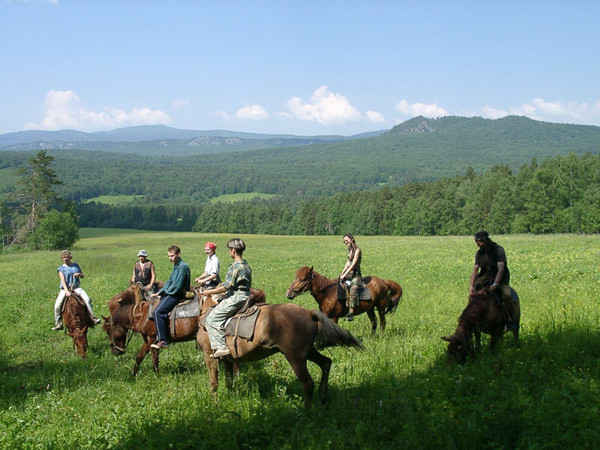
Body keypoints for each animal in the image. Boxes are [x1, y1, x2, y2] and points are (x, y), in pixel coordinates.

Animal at [103, 288, 264, 376]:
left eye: (110, 331)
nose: (115, 352)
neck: (141, 315)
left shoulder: (152, 339)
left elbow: (154, 359)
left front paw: (157, 376)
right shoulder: (147, 340)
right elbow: (139, 357)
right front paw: (134, 375)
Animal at [198, 294, 366, 410]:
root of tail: (309, 313)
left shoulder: (209, 356)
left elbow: (214, 383)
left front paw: (214, 405)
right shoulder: (228, 360)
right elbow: (229, 381)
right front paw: (231, 398)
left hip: (295, 357)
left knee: (308, 383)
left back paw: (305, 411)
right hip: (308, 352)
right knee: (326, 362)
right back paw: (323, 396)